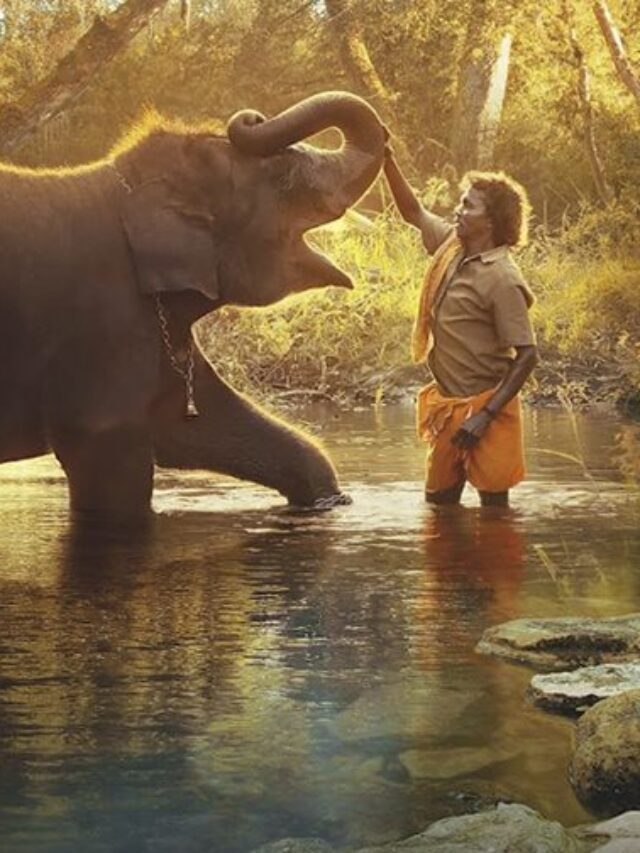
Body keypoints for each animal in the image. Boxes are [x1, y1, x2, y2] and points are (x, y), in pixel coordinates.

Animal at [0, 91, 385, 517]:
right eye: (282, 178)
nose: (251, 117)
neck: (123, 188)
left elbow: (195, 425)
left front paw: (330, 501)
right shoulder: (103, 323)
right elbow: (111, 458)